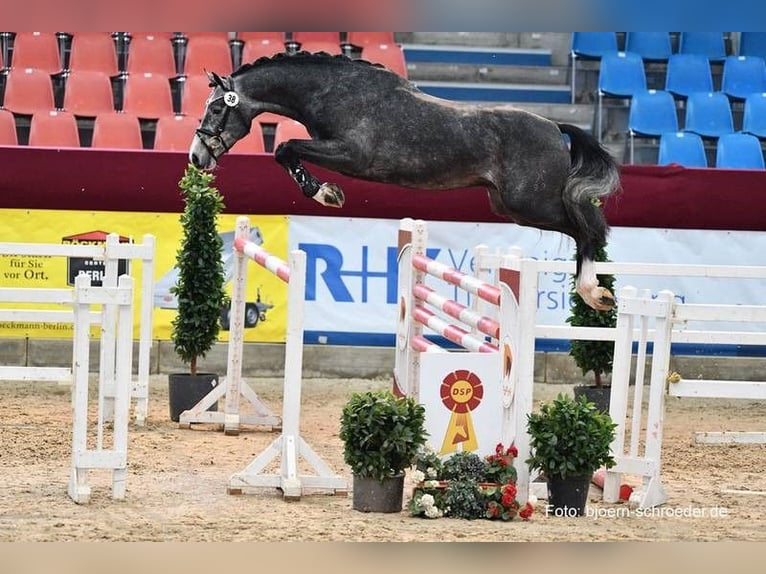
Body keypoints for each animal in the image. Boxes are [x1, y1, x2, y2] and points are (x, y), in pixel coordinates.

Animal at [190, 50, 624, 310]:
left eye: (217, 109)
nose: (196, 157)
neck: (334, 91)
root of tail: (555, 126)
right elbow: (287, 151)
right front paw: (326, 192)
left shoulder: (352, 155)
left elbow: (286, 149)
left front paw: (326, 194)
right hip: (510, 206)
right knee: (584, 224)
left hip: (529, 202)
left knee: (588, 227)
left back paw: (592, 291)